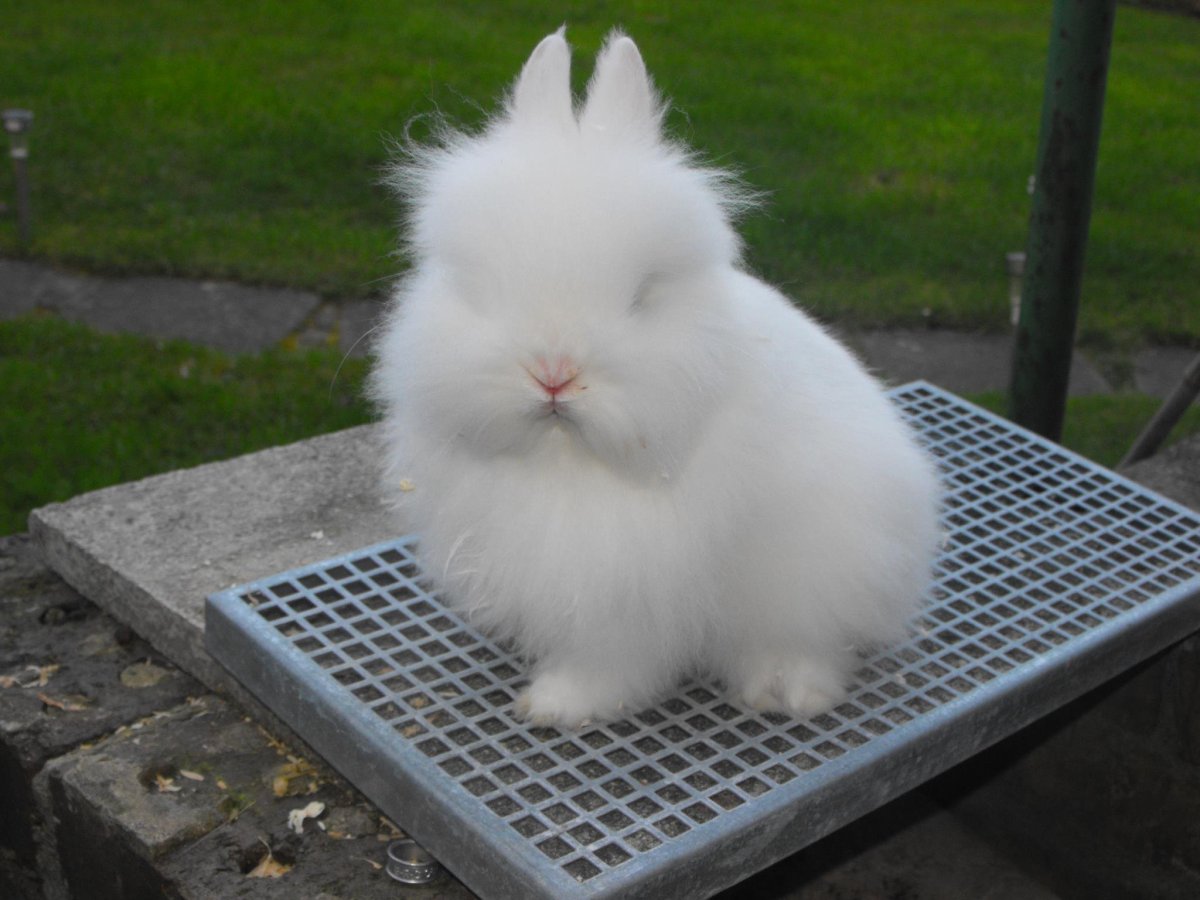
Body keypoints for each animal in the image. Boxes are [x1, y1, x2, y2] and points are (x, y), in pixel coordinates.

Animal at [369, 28, 941, 728]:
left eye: (642, 295)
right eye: (479, 287)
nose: (554, 373)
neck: (567, 462)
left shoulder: (624, 595)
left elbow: (607, 664)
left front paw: (557, 706)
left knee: (806, 640)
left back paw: (786, 692)